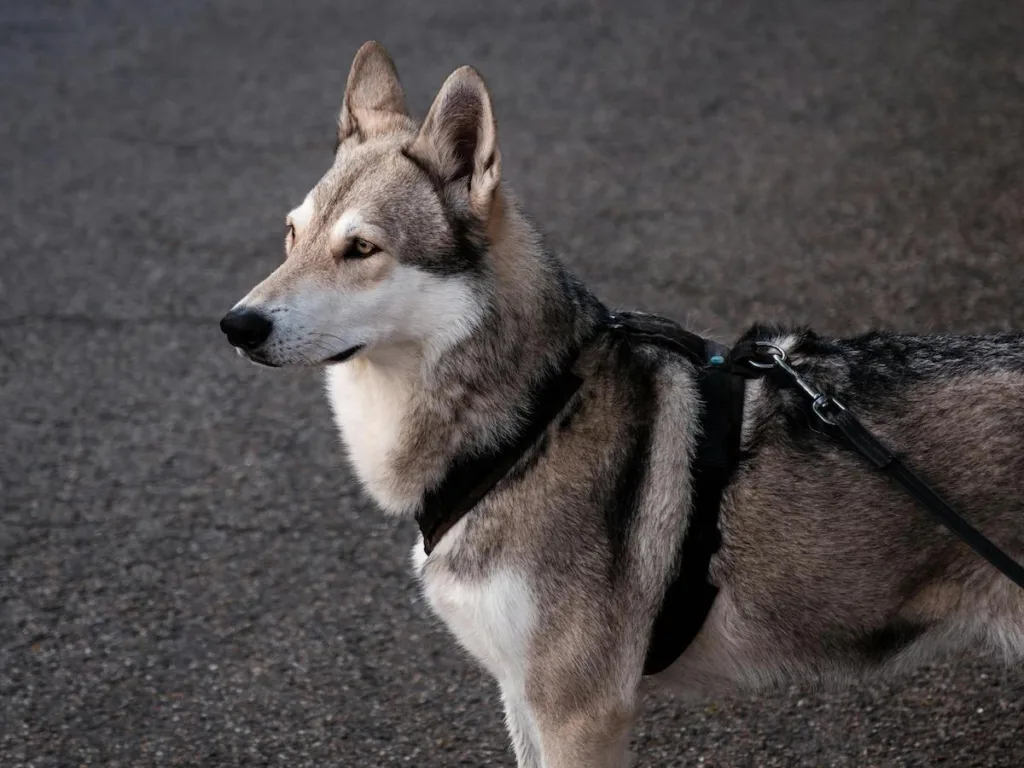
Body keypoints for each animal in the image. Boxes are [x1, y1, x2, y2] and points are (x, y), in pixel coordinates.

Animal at [220, 41, 1024, 767]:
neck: (535, 419)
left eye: (361, 249)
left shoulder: (580, 711)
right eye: (292, 235)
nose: (236, 325)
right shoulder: (522, 697)